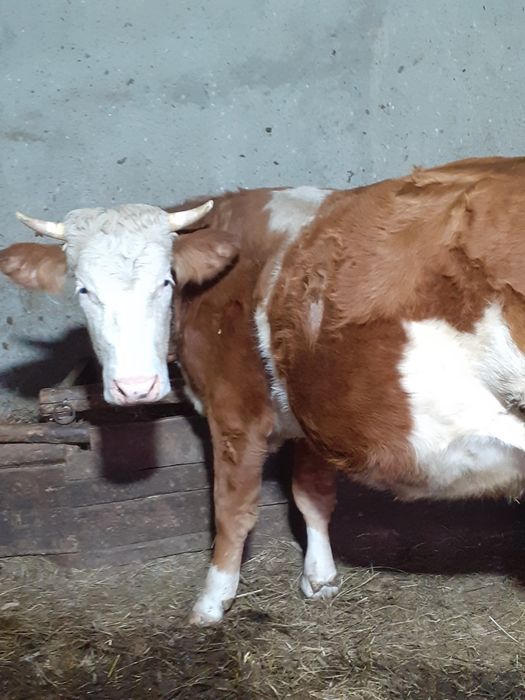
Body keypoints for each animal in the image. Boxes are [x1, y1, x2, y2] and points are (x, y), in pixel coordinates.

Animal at [3, 155, 525, 625]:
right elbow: (312, 495)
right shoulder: (311, 410)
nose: (135, 387)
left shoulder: (236, 409)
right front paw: (319, 578)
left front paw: (212, 601)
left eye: (166, 280)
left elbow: (231, 509)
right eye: (83, 289)